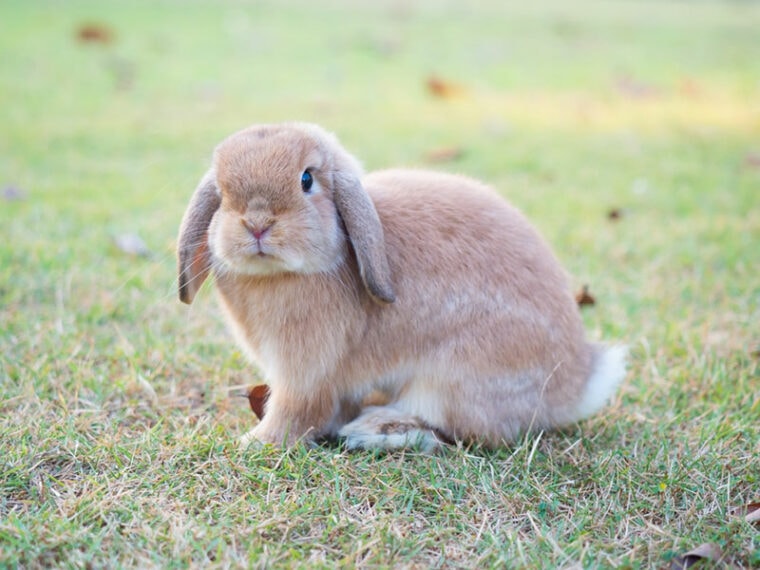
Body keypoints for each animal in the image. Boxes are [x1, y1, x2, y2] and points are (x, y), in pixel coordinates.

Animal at [177, 122, 624, 450]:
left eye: (306, 179)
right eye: (222, 192)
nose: (256, 224)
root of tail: (576, 384)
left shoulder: (305, 372)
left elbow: (297, 412)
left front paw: (254, 443)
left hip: (451, 379)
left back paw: (374, 430)